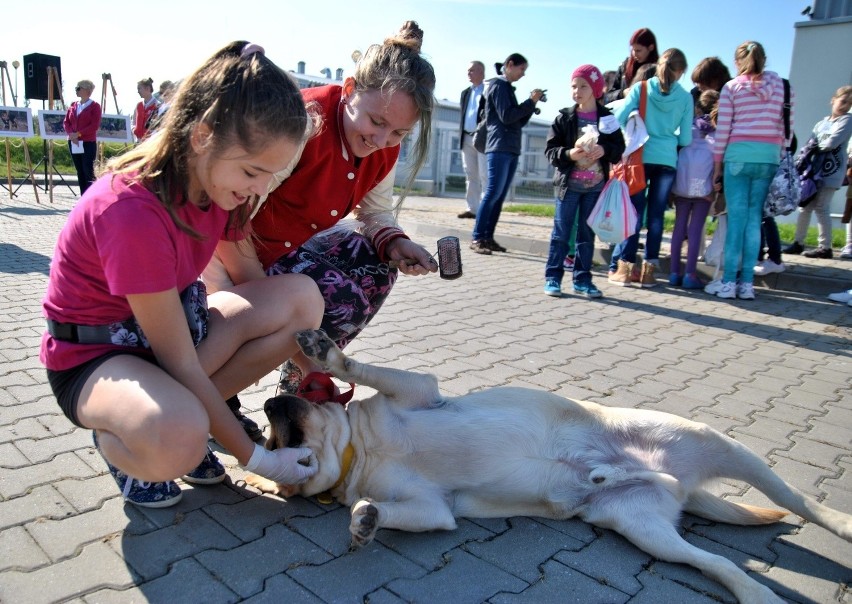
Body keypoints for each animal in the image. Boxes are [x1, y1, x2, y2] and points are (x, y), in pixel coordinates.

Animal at [246, 330, 852, 604]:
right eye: (275, 440)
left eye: (280, 421)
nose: (266, 408)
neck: (360, 452)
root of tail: (676, 485)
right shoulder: (434, 509)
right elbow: (393, 511)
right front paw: (365, 521)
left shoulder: (419, 391)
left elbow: (360, 367)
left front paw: (327, 352)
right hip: (647, 530)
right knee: (719, 563)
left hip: (717, 443)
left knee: (801, 501)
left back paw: (840, 523)